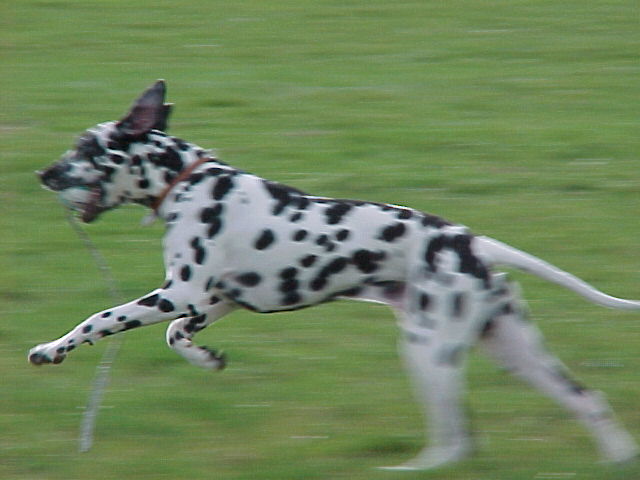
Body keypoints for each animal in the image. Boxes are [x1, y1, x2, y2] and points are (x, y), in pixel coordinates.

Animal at [30, 81, 640, 468]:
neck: (189, 182)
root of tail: (468, 241)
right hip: (514, 351)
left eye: (86, 146)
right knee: (587, 400)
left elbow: (99, 318)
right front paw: (207, 359)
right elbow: (178, 336)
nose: (43, 174)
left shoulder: (179, 292)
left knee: (454, 441)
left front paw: (50, 350)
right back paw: (617, 456)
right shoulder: (211, 301)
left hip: (427, 352)